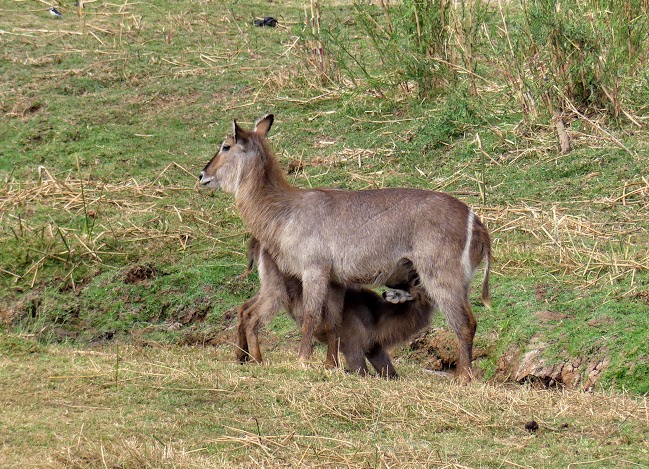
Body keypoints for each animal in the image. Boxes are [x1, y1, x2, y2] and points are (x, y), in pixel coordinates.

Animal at [237, 238, 430, 376]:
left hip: (267, 288)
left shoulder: (374, 350)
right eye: (418, 281)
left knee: (243, 308)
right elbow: (363, 373)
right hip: (276, 291)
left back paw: (241, 357)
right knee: (252, 315)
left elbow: (392, 374)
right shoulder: (353, 347)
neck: (376, 318)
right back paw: (258, 360)